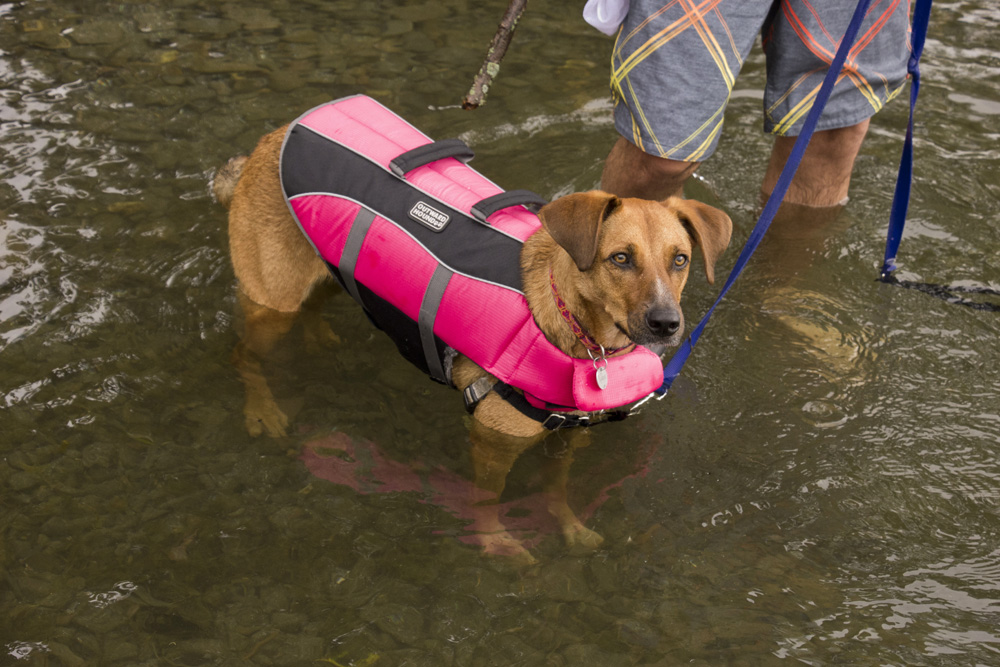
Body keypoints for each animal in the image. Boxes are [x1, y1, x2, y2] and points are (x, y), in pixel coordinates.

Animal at [213, 121, 728, 564]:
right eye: (620, 258)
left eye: (680, 260)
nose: (667, 323)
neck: (573, 331)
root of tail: (275, 136)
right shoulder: (491, 438)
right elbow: (486, 500)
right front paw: (493, 541)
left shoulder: (566, 436)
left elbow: (555, 490)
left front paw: (567, 526)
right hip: (271, 304)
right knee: (241, 352)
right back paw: (262, 409)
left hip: (321, 269)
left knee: (316, 300)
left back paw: (321, 336)